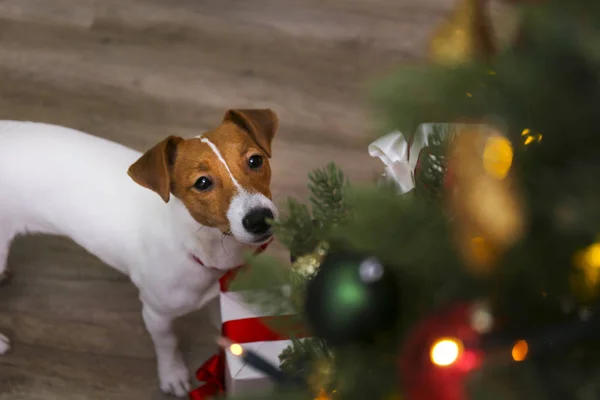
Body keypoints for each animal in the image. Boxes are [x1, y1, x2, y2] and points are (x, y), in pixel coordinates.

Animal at [0, 108, 278, 396]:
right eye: (202, 183)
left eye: (255, 160)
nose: (259, 219)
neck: (192, 242)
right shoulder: (155, 314)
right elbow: (167, 343)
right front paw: (172, 373)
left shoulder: (216, 293)